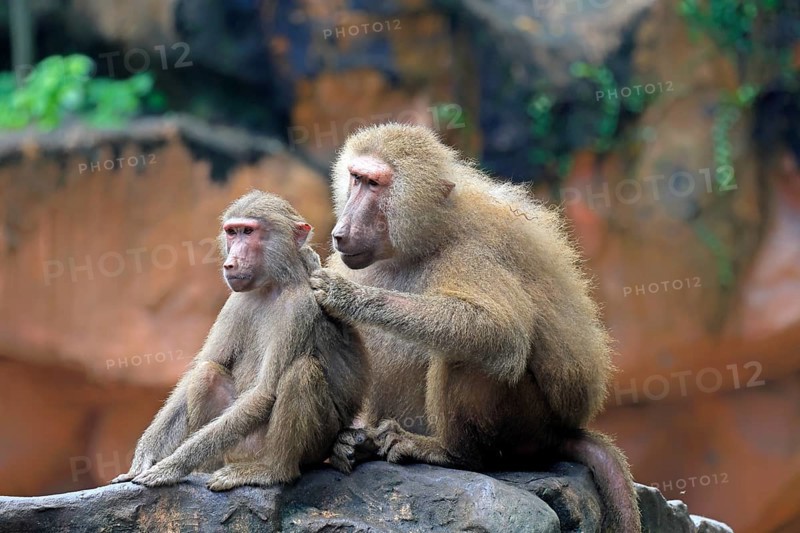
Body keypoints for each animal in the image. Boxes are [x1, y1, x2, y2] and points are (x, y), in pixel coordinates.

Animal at [110, 191, 368, 491]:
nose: (230, 263)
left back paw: (272, 471)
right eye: (232, 233)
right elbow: (201, 370)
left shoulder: (300, 308)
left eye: (249, 231)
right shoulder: (235, 302)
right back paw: (205, 469)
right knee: (207, 374)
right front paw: (144, 457)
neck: (273, 285)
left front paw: (170, 466)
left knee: (301, 372)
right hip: (237, 448)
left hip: (311, 444)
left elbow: (264, 392)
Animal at [309, 124, 641, 532]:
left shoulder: (472, 251)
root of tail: (562, 431)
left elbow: (499, 330)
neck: (427, 234)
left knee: (471, 354)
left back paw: (450, 453)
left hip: (527, 425)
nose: (341, 232)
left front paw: (348, 297)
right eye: (355, 179)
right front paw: (347, 441)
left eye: (374, 184)